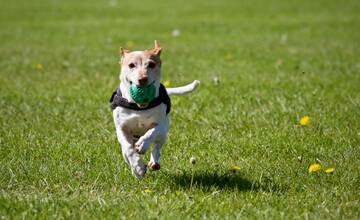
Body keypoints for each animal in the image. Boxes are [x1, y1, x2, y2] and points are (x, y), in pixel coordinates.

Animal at [110, 40, 200, 179]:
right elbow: (128, 149)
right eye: (131, 65)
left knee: (157, 147)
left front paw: (143, 144)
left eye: (151, 64)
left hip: (163, 134)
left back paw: (154, 162)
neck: (139, 107)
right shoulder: (121, 128)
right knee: (126, 151)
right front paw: (138, 167)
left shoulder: (161, 125)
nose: (142, 79)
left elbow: (152, 132)